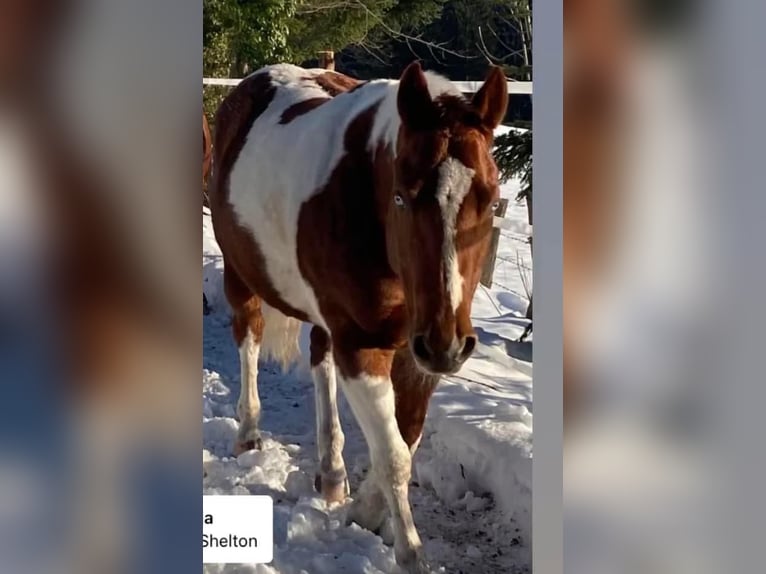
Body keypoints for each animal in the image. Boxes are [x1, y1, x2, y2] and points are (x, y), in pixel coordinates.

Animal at [210, 60, 510, 572]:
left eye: (490, 200)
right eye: (402, 197)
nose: (449, 346)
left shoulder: (416, 356)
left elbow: (406, 439)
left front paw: (366, 511)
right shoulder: (364, 344)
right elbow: (393, 455)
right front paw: (410, 553)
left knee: (320, 361)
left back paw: (331, 472)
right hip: (240, 274)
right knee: (249, 338)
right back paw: (248, 433)